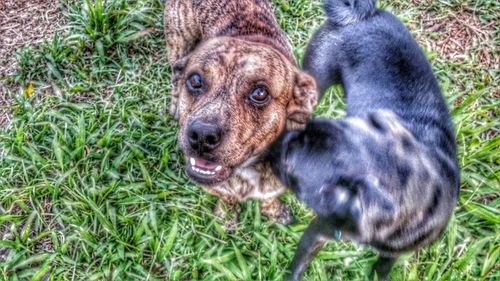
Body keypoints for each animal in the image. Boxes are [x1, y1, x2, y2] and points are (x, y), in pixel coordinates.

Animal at [166, 0, 318, 224]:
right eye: (195, 80)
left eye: (260, 93)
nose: (202, 135)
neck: (248, 171)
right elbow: (227, 197)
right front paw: (227, 216)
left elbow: (269, 199)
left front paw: (276, 212)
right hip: (178, 41)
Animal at [268, 0, 458, 278]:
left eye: (289, 165)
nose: (273, 144)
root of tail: (360, 17)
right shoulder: (317, 233)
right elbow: (297, 268)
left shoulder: (391, 253)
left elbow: (381, 269)